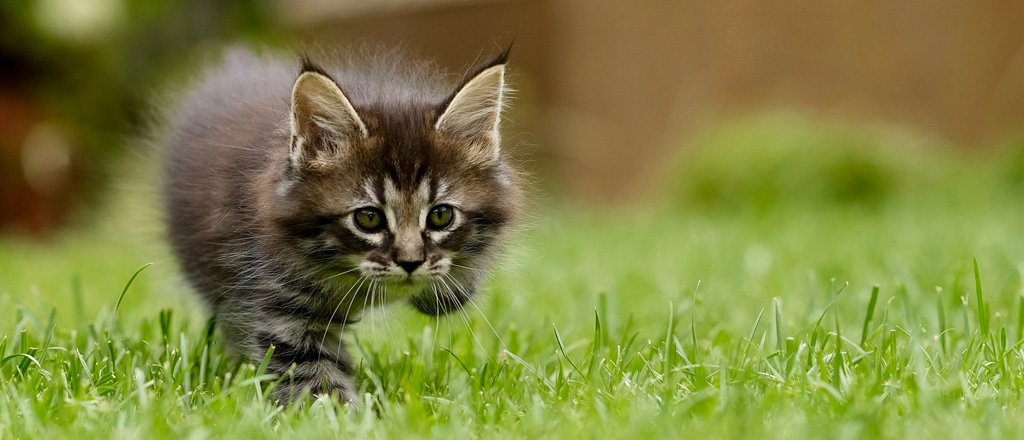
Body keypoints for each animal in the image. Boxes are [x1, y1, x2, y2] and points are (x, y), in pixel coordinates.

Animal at [165, 46, 528, 403]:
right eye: (368, 218)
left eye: (440, 215)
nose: (410, 262)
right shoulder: (282, 297)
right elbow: (310, 373)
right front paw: (341, 412)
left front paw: (447, 290)